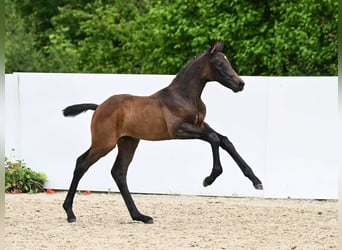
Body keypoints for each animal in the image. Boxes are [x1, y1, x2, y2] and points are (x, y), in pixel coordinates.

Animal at [62, 41, 264, 225]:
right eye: (220, 64)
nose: (240, 84)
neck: (184, 96)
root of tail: (98, 107)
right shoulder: (179, 129)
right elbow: (214, 139)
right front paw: (209, 179)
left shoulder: (201, 124)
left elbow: (225, 141)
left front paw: (256, 181)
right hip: (104, 143)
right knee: (82, 163)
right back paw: (70, 213)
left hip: (128, 142)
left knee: (119, 172)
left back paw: (140, 216)